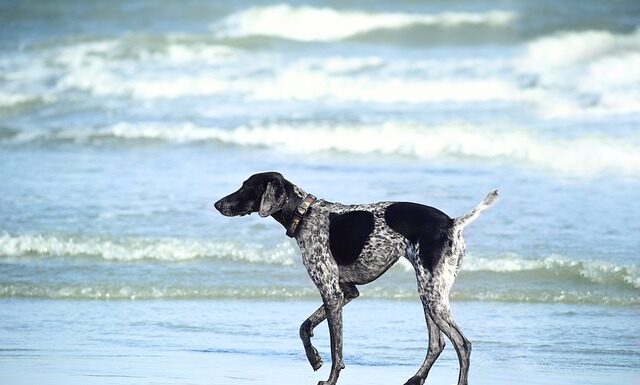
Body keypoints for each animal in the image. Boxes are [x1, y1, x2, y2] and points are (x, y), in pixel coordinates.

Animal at [215, 172, 500, 384]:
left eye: (246, 187)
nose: (217, 204)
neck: (304, 214)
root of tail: (452, 223)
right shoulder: (347, 292)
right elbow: (305, 326)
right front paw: (314, 358)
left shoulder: (332, 293)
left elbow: (336, 348)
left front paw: (329, 378)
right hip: (430, 295)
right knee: (437, 344)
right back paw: (415, 378)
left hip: (432, 296)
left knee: (462, 344)